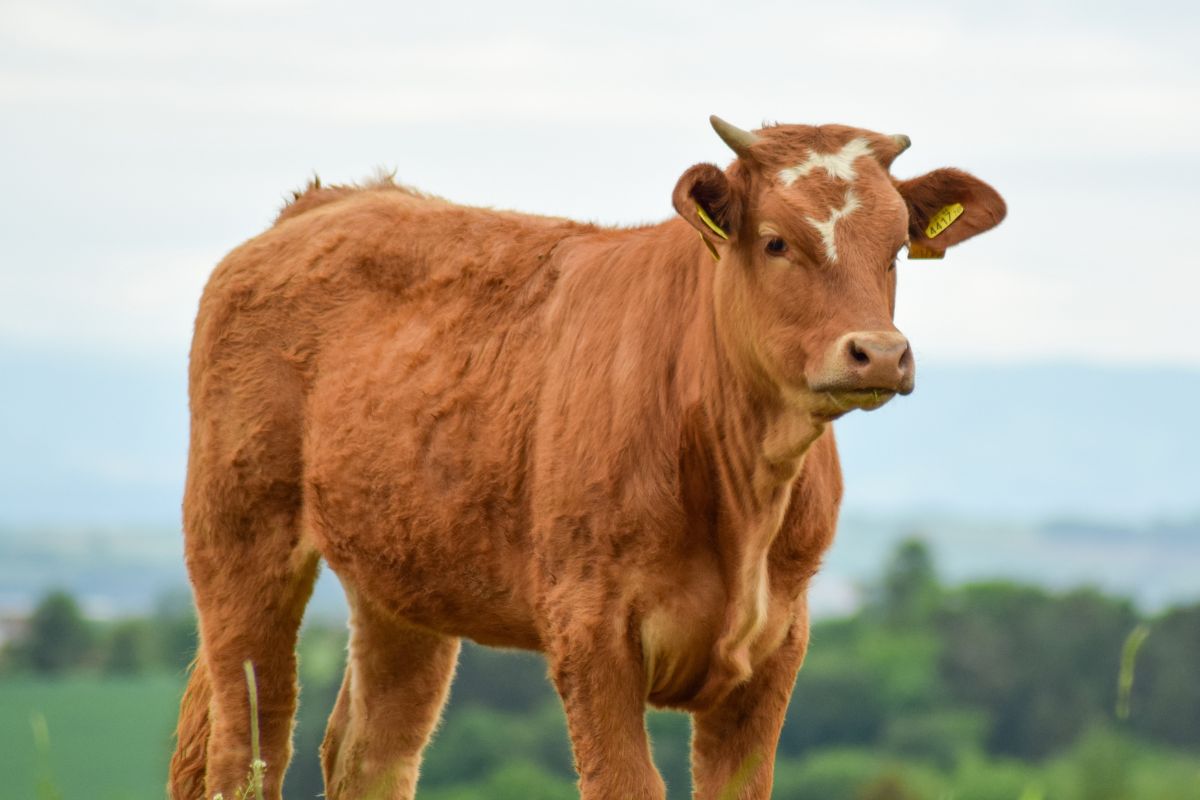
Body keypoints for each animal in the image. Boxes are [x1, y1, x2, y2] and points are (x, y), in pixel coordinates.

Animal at [168, 116, 1005, 800]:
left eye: (896, 248)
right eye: (775, 240)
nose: (879, 353)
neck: (740, 496)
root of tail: (331, 200)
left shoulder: (778, 642)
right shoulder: (590, 627)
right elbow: (624, 784)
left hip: (403, 584)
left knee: (369, 753)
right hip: (240, 540)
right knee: (249, 748)